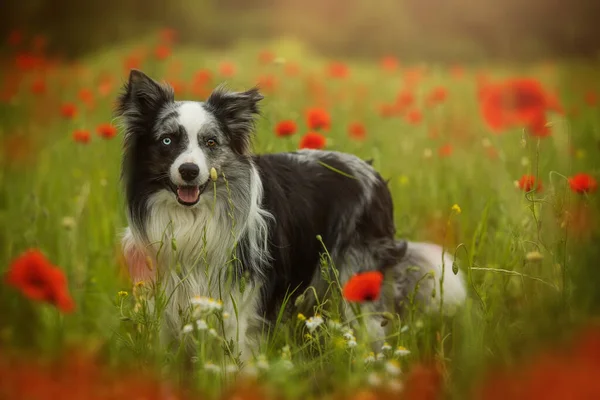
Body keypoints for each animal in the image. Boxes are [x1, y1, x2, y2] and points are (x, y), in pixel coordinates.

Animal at [115, 69, 466, 360]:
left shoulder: (240, 299)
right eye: (167, 140)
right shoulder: (166, 294)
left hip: (358, 277)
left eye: (211, 142)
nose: (189, 171)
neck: (192, 217)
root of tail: (372, 172)